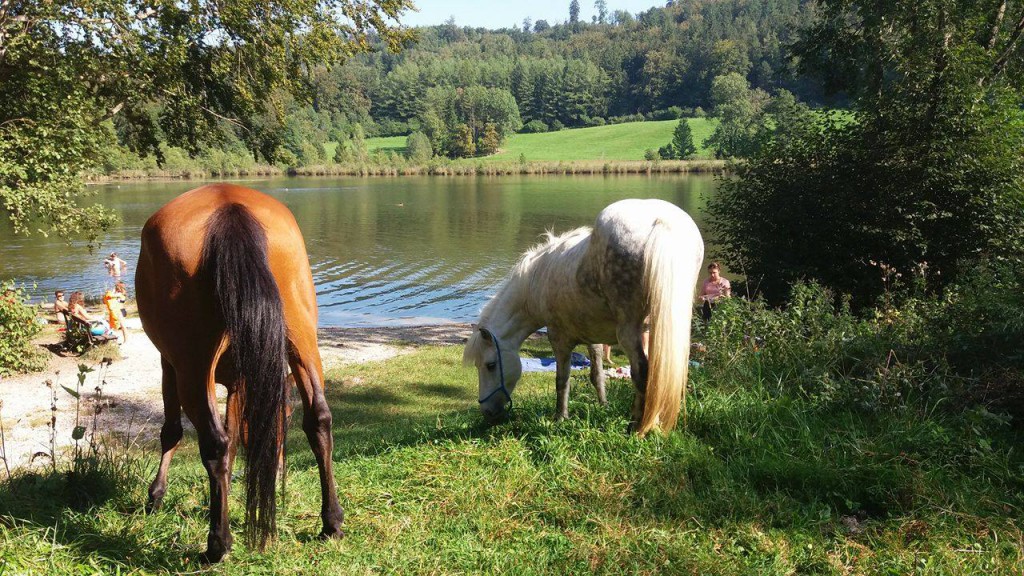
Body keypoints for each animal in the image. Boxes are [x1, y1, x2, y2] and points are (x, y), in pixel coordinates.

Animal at [136, 184, 346, 561]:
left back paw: (217, 544)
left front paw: (156, 495)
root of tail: (229, 204)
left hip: (192, 364)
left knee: (213, 442)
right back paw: (331, 523)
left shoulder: (168, 364)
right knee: (319, 419)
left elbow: (174, 431)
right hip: (303, 340)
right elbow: (237, 435)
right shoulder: (240, 382)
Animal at [464, 195, 704, 430]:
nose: (488, 412)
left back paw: (636, 427)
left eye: (490, 365)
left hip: (629, 332)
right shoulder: (593, 337)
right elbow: (597, 374)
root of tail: (661, 221)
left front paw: (560, 418)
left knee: (642, 372)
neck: (536, 280)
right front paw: (603, 405)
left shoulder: (559, 338)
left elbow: (562, 380)